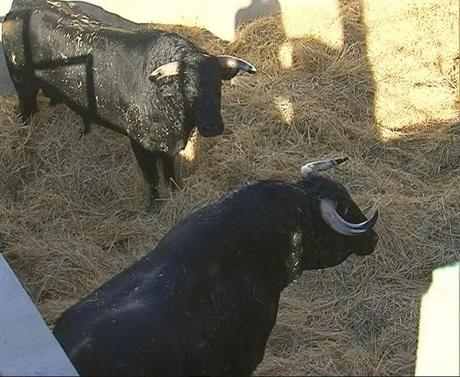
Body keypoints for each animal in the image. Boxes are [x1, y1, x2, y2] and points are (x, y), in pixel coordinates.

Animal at [1, 0, 256, 209]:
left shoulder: (165, 145)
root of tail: (20, 7)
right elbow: (151, 177)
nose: (213, 126)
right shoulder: (140, 144)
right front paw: (154, 204)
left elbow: (169, 171)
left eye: (218, 85)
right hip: (22, 86)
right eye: (186, 85)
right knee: (27, 110)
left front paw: (175, 190)